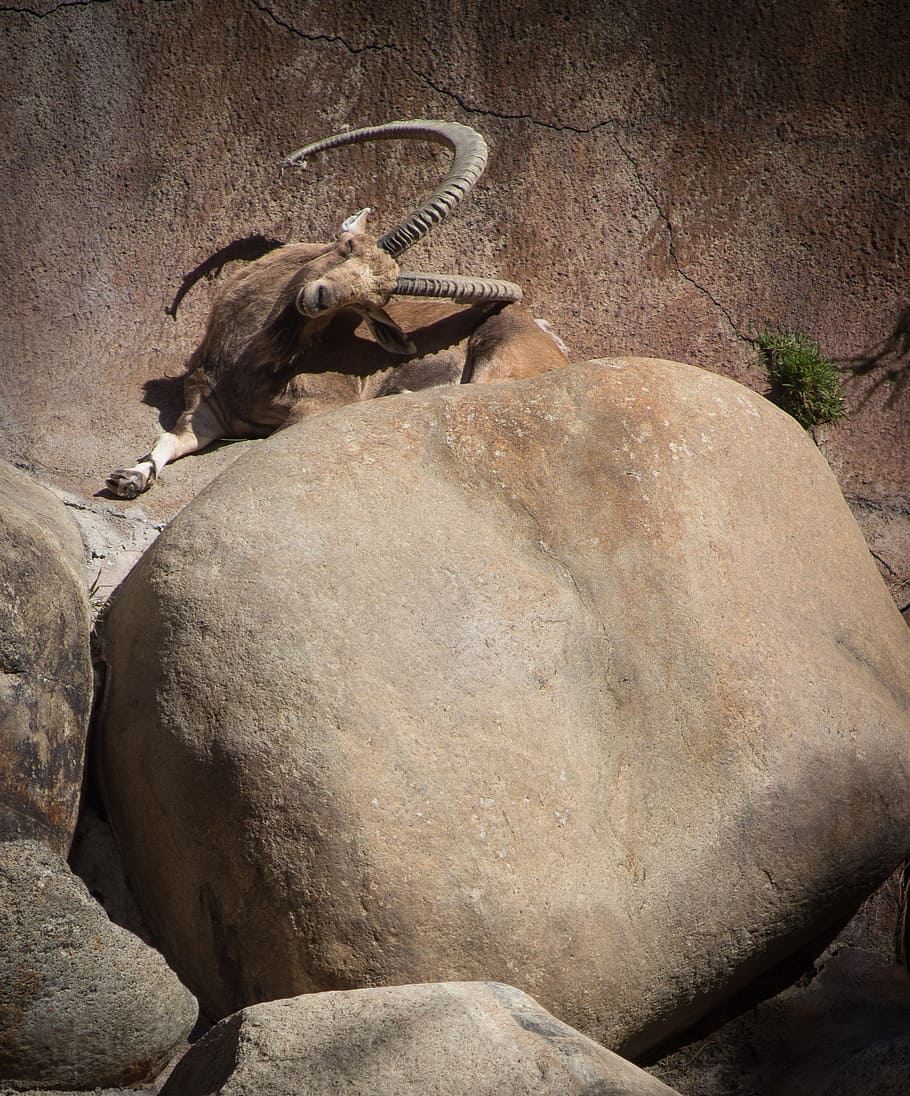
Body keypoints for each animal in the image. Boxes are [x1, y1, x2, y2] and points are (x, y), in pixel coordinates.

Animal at [106, 120, 569, 499]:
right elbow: (169, 439)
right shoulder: (205, 404)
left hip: (499, 357)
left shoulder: (320, 405)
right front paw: (129, 477)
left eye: (372, 301)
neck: (249, 364)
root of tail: (553, 346)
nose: (319, 297)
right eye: (347, 246)